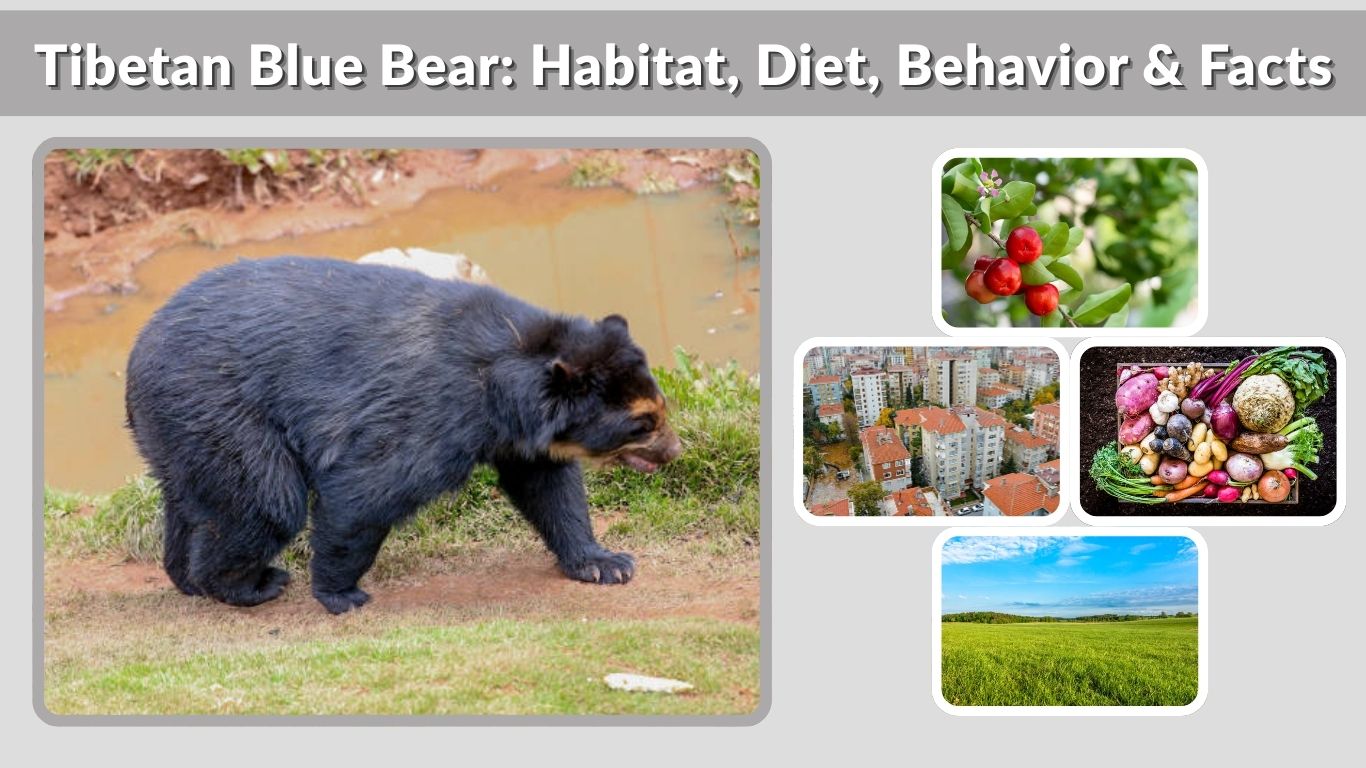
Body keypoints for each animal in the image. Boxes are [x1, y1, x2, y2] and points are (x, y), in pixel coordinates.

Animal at [124, 256, 682, 614]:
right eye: (641, 424)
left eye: (660, 409)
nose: (675, 451)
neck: (506, 378)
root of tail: (135, 354)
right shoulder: (436, 411)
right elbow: (365, 490)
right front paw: (339, 593)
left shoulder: (517, 436)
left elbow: (548, 488)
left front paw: (606, 564)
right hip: (220, 407)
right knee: (265, 500)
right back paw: (250, 584)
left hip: (181, 428)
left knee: (194, 501)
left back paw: (185, 578)